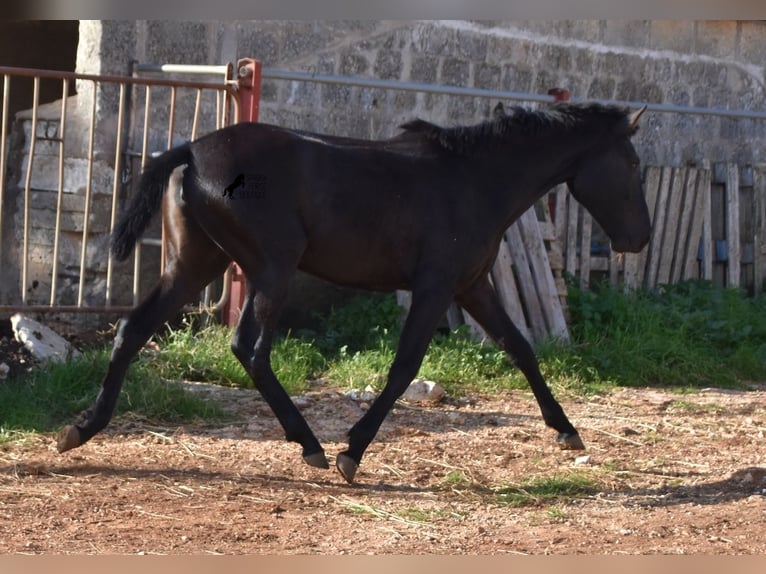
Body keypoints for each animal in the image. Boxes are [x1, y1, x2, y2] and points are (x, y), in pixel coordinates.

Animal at [57, 101, 652, 484]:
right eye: (632, 163)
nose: (640, 237)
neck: (476, 179)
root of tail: (192, 152)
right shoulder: (435, 287)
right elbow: (405, 366)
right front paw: (353, 453)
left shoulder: (472, 286)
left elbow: (521, 348)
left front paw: (567, 431)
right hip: (270, 268)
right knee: (249, 348)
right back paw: (312, 447)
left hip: (196, 263)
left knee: (134, 328)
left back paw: (81, 429)